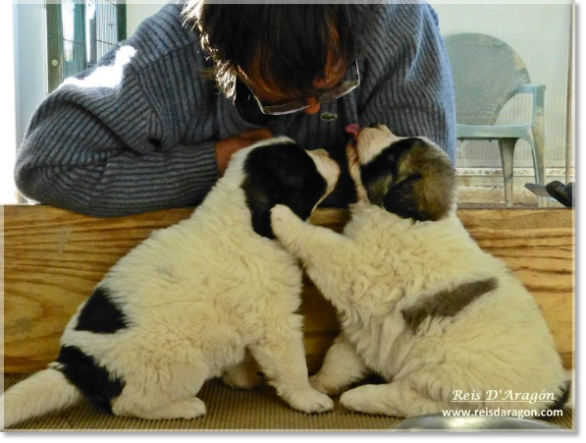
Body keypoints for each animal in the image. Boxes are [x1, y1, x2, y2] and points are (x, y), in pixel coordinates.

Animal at [1, 137, 338, 428]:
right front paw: (308, 397)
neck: (246, 221)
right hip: (179, 364)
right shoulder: (276, 322)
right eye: (306, 166)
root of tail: (78, 366)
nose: (328, 151)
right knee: (127, 405)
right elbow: (292, 365)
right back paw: (186, 406)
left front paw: (241, 379)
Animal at [272, 125, 568, 420]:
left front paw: (282, 216)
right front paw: (316, 384)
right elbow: (340, 358)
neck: (407, 217)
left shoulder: (356, 268)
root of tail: (552, 396)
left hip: (448, 374)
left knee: (416, 401)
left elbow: (319, 241)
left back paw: (361, 397)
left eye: (391, 157)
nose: (373, 125)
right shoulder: (366, 326)